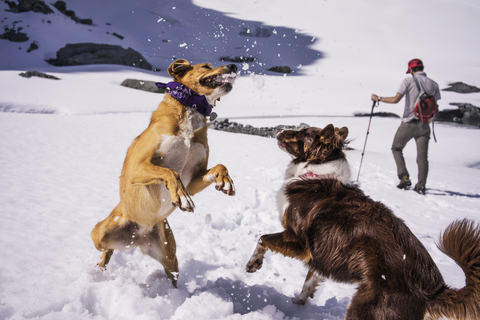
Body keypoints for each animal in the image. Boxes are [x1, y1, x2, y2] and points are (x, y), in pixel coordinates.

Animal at [91, 58, 237, 286]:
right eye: (206, 66)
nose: (234, 66)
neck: (190, 113)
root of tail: (138, 236)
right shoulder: (136, 169)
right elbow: (170, 172)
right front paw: (182, 197)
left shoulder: (194, 179)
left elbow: (219, 166)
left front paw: (225, 180)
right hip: (101, 232)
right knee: (105, 248)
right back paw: (100, 268)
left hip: (170, 258)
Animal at [246, 124, 480, 320]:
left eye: (302, 132)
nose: (277, 128)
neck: (315, 174)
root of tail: (434, 290)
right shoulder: (321, 252)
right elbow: (310, 280)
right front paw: (298, 304)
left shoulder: (300, 241)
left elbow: (263, 238)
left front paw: (253, 263)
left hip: (366, 308)